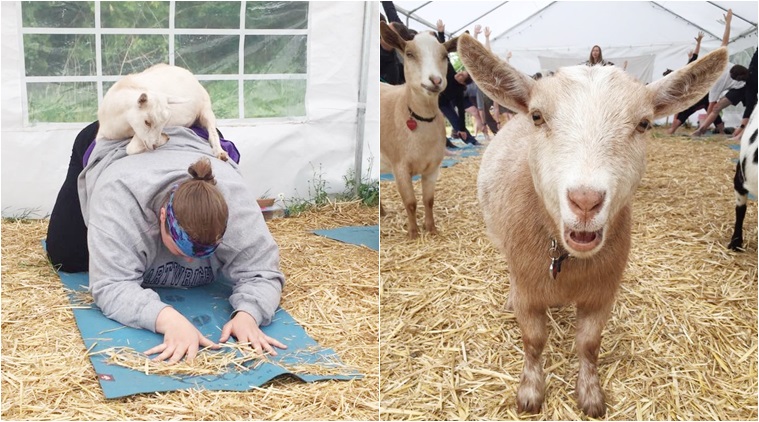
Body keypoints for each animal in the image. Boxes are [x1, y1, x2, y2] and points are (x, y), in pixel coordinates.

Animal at [97, 64, 228, 161]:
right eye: (147, 122)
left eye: (164, 123)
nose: (154, 146)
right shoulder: (102, 136)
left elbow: (130, 148)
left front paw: (164, 137)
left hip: (206, 109)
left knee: (212, 131)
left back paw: (220, 153)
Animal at [379, 22, 457, 239]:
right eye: (409, 53)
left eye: (445, 55)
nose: (436, 80)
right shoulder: (399, 167)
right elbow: (411, 202)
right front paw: (413, 233)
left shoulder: (433, 167)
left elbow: (428, 200)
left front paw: (431, 229)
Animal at [458, 33, 727, 417]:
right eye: (538, 116)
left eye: (644, 123)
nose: (585, 201)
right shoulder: (528, 289)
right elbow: (533, 340)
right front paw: (530, 393)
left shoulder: (602, 292)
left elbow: (589, 344)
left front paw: (590, 395)